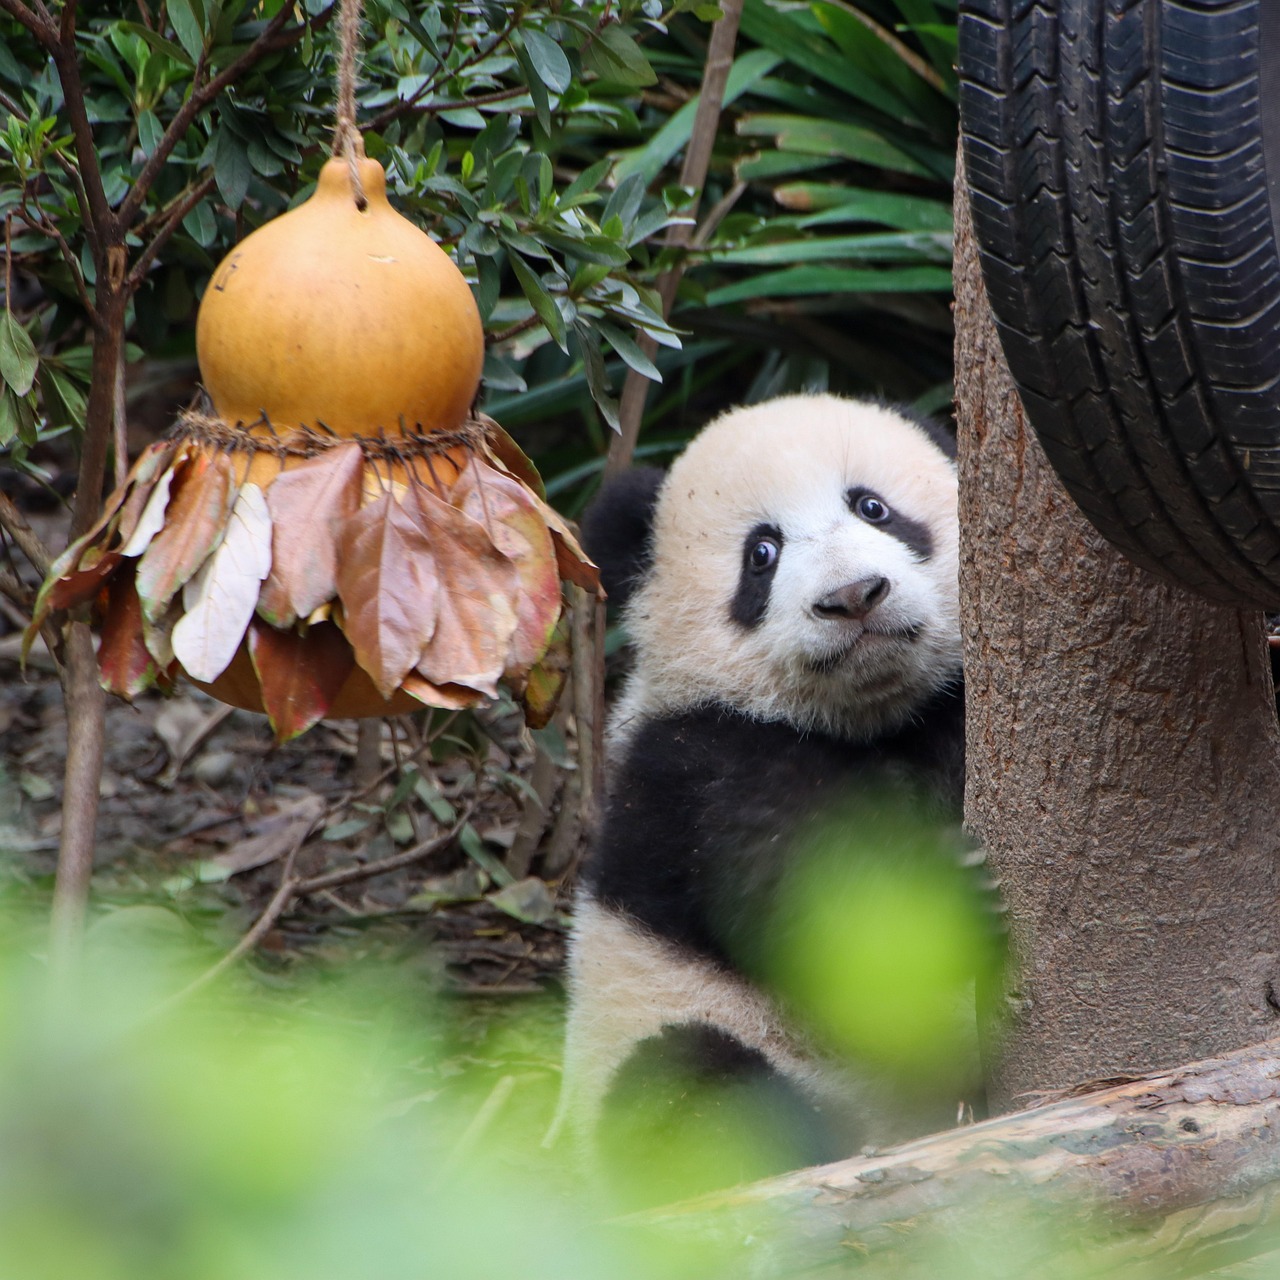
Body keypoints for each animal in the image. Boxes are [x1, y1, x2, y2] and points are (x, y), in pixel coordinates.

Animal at [551, 394, 986, 1202]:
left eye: (873, 508)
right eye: (762, 554)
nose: (853, 598)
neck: (867, 718)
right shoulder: (693, 765)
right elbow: (810, 898)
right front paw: (958, 902)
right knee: (691, 1091)